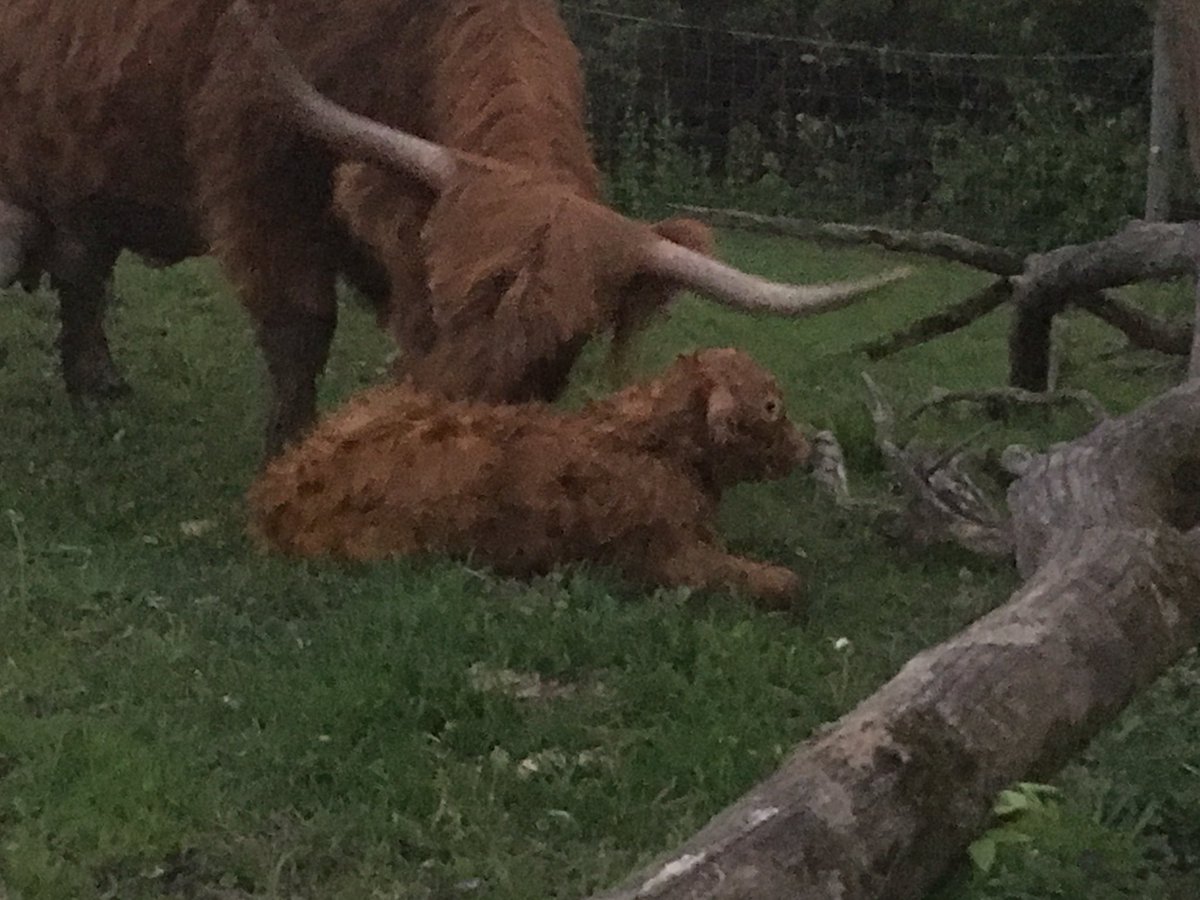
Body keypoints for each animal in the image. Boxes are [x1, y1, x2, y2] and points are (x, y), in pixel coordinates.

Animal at [0, 0, 907, 457]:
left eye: (566, 342)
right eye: (449, 298)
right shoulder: (259, 172)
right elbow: (301, 324)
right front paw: (290, 440)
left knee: (82, 266)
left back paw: (97, 383)